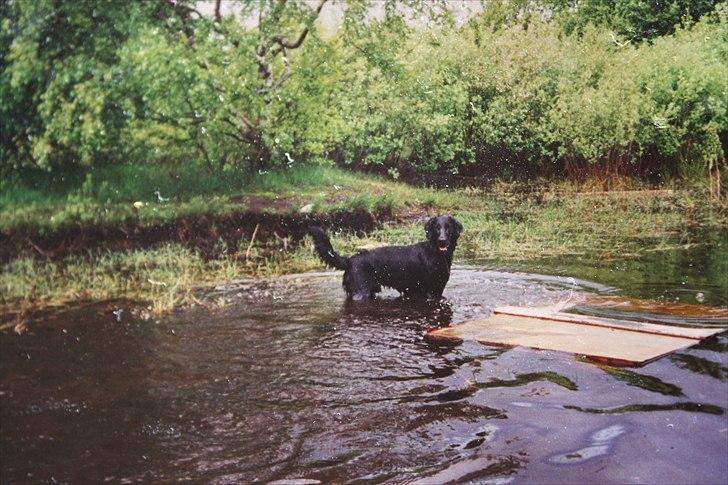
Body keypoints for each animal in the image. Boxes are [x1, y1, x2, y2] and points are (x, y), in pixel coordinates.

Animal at [308, 216, 460, 298]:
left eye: (448, 227)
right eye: (436, 227)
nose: (442, 241)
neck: (436, 253)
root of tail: (349, 260)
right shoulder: (431, 291)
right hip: (361, 291)